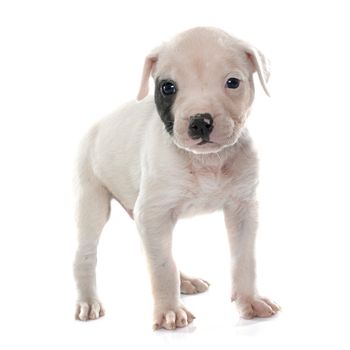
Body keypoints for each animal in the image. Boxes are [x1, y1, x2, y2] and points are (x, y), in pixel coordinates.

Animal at [73, 26, 278, 328]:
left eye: (233, 82)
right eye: (167, 87)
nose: (200, 122)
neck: (206, 161)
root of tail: (96, 125)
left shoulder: (243, 209)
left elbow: (244, 258)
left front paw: (250, 300)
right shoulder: (154, 213)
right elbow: (162, 266)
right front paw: (170, 310)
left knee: (155, 248)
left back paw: (186, 281)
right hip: (92, 201)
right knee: (87, 255)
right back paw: (88, 301)